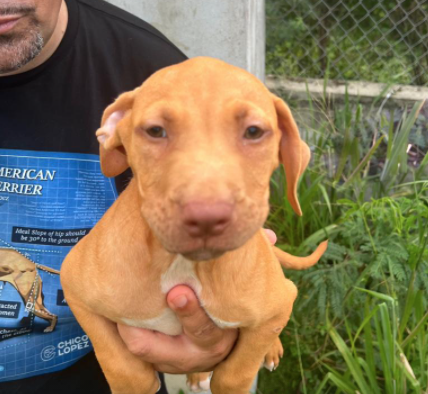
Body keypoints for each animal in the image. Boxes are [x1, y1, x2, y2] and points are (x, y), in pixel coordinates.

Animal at [61, 56, 328, 394]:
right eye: (155, 130)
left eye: (254, 131)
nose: (207, 216)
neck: (182, 265)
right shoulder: (74, 288)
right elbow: (120, 364)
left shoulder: (279, 304)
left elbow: (236, 372)